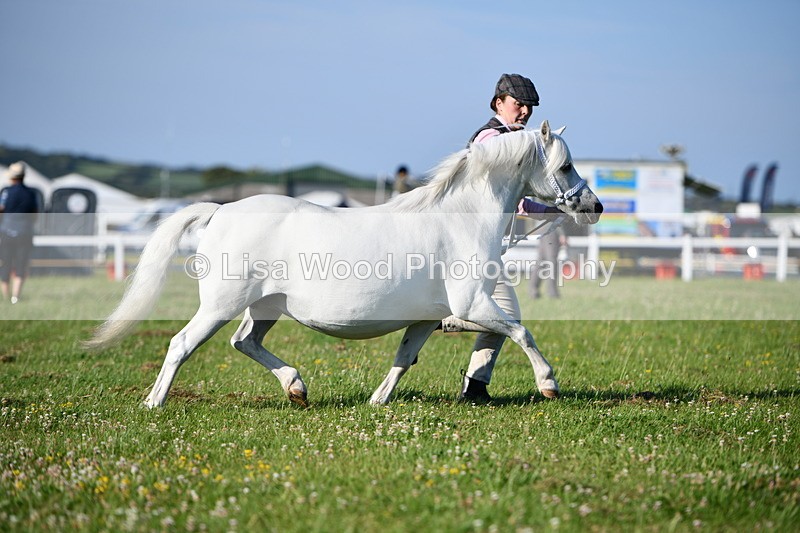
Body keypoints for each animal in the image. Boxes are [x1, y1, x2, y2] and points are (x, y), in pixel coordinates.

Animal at [86, 120, 603, 407]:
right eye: (564, 166)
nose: (593, 206)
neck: (460, 220)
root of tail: (219, 211)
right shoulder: (473, 303)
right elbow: (521, 332)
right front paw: (549, 385)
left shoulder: (426, 317)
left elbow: (405, 358)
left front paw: (378, 400)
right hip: (220, 305)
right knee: (182, 344)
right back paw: (154, 402)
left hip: (265, 307)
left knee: (244, 342)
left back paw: (296, 388)